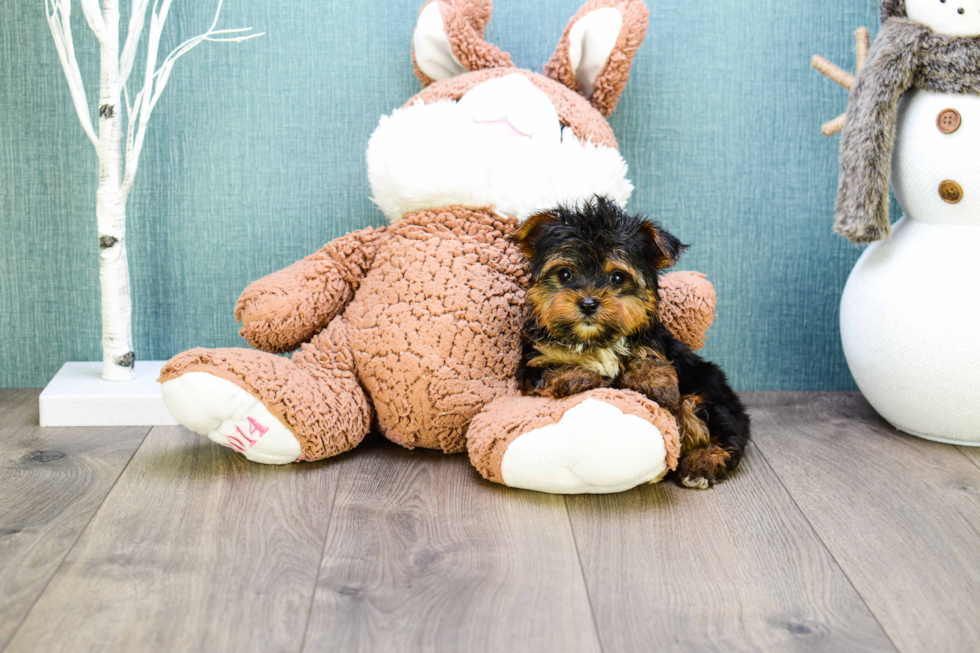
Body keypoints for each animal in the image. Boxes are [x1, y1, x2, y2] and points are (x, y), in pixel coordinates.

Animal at [512, 196, 752, 486]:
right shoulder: (534, 360)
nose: (588, 303)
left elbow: (647, 359)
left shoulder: (652, 343)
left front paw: (658, 384)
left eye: (617, 277)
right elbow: (551, 368)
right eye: (565, 274)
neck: (595, 340)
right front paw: (575, 376)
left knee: (721, 432)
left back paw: (702, 463)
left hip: (712, 395)